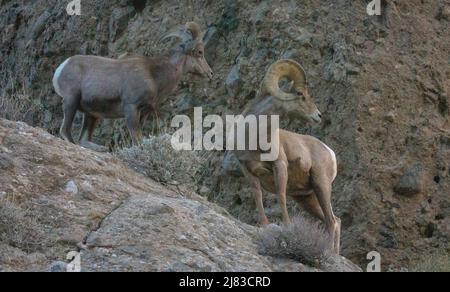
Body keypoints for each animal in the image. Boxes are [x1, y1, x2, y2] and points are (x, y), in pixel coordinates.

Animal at [52, 22, 214, 151]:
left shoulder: (144, 113)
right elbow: (137, 140)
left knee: (83, 139)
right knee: (65, 131)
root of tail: (62, 67)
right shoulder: (131, 109)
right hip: (71, 101)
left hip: (92, 115)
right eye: (199, 52)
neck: (154, 75)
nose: (210, 73)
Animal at [232, 59, 342, 253]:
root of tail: (329, 152)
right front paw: (264, 225)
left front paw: (287, 226)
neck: (253, 136)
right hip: (307, 198)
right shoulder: (248, 171)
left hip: (321, 185)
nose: (318, 116)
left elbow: (281, 196)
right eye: (300, 94)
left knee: (331, 222)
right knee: (336, 220)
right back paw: (335, 253)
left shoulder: (280, 166)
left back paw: (329, 252)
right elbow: (258, 197)